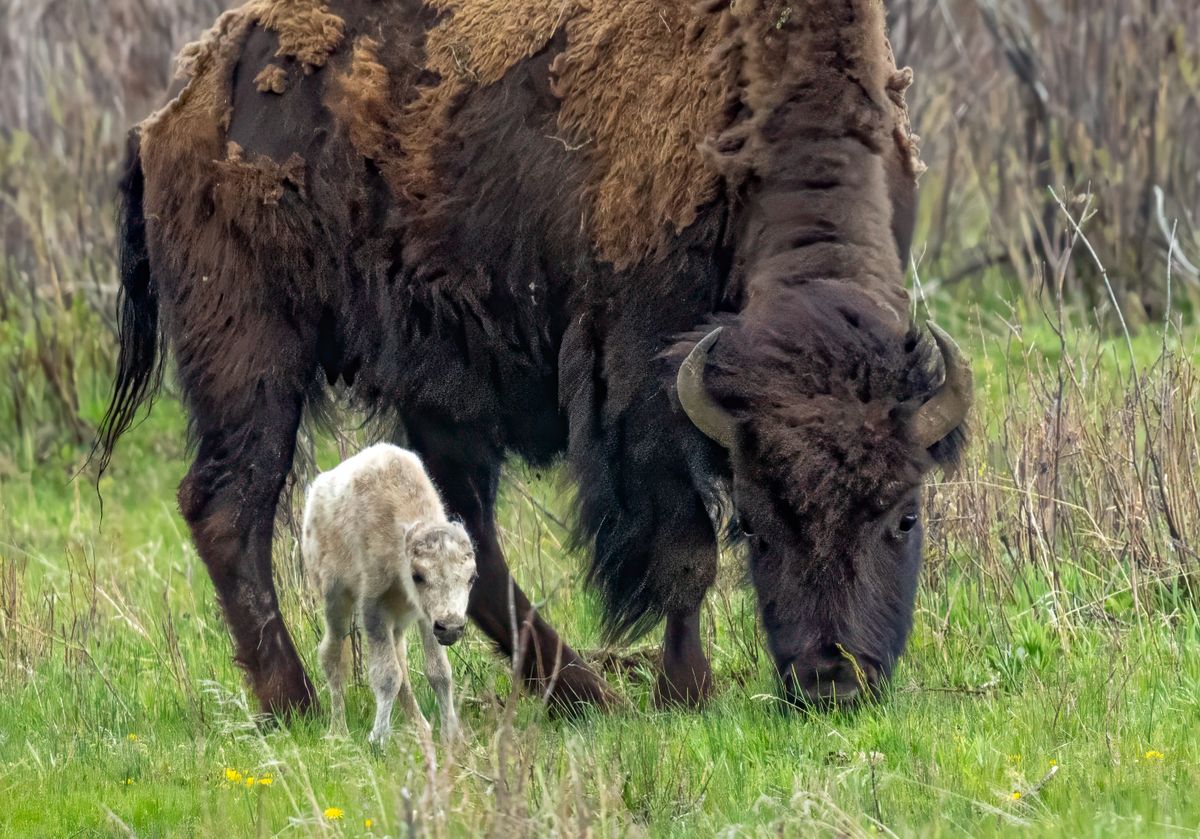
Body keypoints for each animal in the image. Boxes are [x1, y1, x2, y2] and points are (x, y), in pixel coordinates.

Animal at [302, 444, 475, 744]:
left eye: (471, 578)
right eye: (418, 576)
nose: (452, 627)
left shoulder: (426, 617)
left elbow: (438, 672)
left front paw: (451, 735)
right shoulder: (373, 609)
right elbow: (386, 676)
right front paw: (378, 739)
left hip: (398, 622)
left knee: (401, 662)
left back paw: (421, 727)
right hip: (335, 600)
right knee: (331, 655)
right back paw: (339, 732)